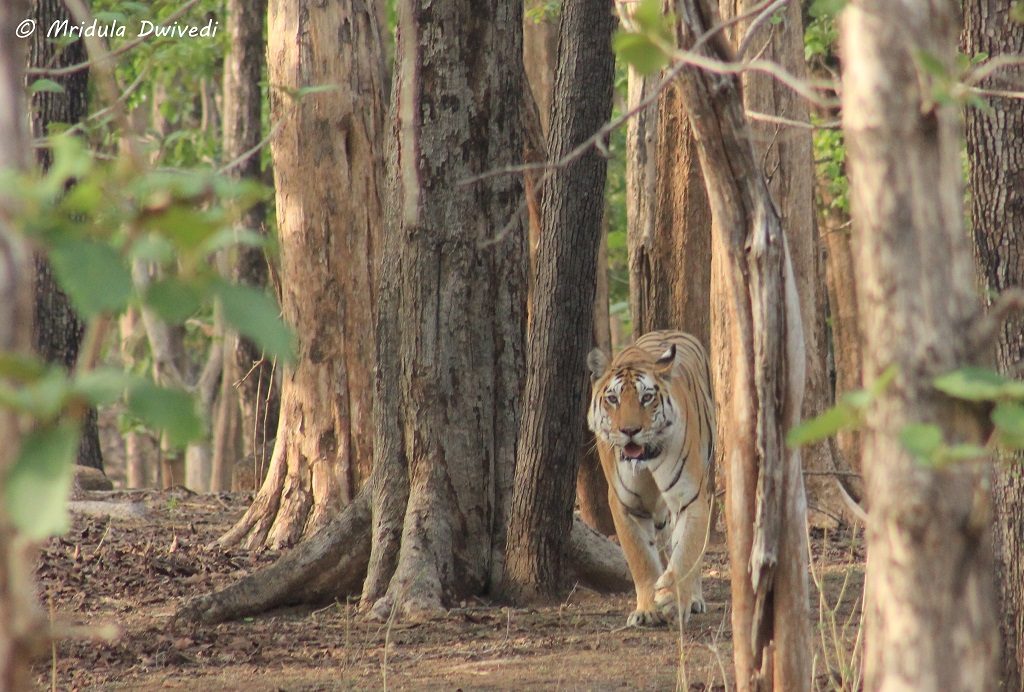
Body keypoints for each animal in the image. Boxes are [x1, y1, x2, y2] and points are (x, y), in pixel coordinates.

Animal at [587, 330, 716, 627]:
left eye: (647, 398)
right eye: (613, 399)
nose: (630, 430)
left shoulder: (689, 498)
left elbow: (686, 552)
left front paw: (673, 598)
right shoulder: (625, 505)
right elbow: (641, 558)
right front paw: (647, 610)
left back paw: (695, 598)